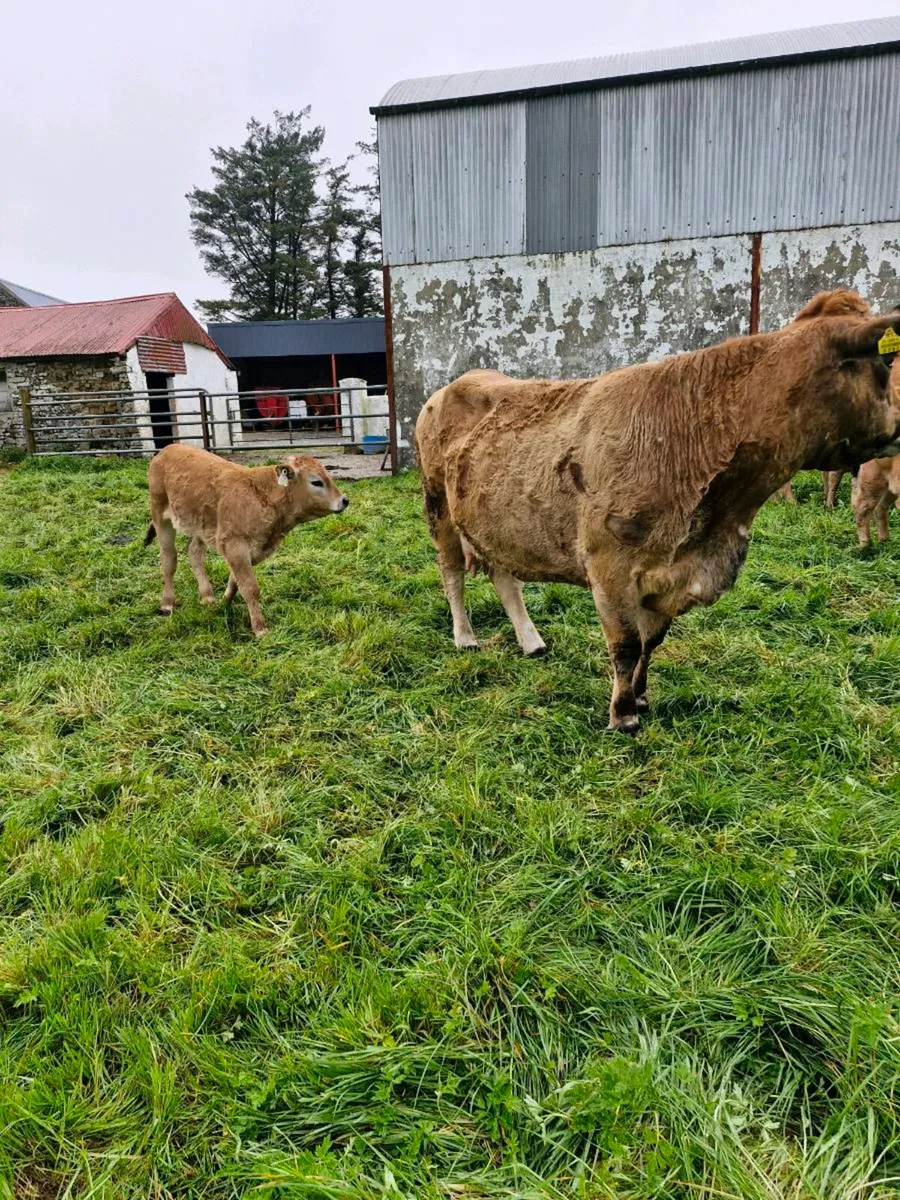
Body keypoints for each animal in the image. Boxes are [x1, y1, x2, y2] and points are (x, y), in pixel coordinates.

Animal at [145, 443, 348, 636]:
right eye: (316, 482)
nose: (344, 500)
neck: (263, 495)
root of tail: (167, 449)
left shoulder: (252, 549)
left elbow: (235, 581)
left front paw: (225, 602)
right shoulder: (236, 546)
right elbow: (250, 587)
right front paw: (259, 627)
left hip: (199, 524)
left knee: (194, 553)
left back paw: (207, 596)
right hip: (160, 515)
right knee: (169, 559)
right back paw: (167, 603)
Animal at [416, 292, 900, 733]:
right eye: (888, 361)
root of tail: (452, 385)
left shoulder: (671, 573)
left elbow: (652, 642)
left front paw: (642, 697)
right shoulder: (610, 567)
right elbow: (627, 645)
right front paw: (623, 715)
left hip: (491, 518)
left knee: (504, 576)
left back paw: (531, 640)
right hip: (438, 505)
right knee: (451, 573)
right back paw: (465, 638)